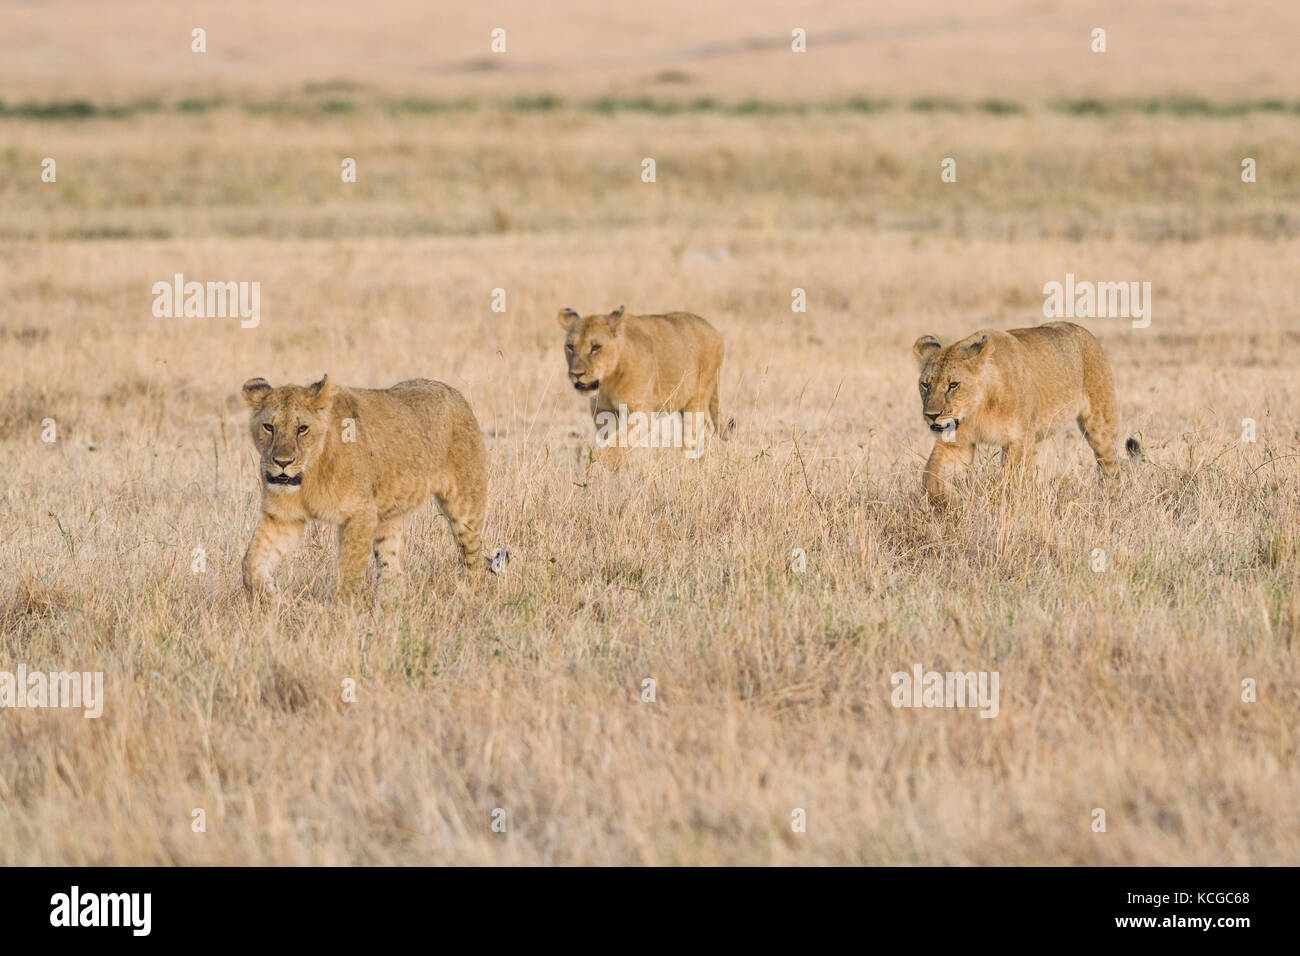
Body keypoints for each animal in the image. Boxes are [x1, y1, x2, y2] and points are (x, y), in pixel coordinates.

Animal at [240, 374, 488, 599]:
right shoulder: (283, 518)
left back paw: (469, 596)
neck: (308, 476)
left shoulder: (361, 514)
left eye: (302, 428)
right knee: (393, 572)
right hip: (388, 516)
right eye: (268, 427)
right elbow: (251, 561)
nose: (282, 462)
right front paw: (269, 595)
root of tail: (453, 391)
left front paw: (339, 613)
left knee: (475, 558)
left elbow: (349, 572)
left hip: (465, 506)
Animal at [557, 305, 734, 460]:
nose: (576, 374)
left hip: (698, 396)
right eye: (570, 346)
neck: (608, 381)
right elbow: (613, 440)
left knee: (695, 435)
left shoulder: (641, 413)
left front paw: (596, 465)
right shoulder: (602, 410)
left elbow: (617, 441)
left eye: (596, 347)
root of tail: (713, 329)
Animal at [911, 321, 1140, 507]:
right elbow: (930, 477)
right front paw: (952, 504)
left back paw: (1109, 503)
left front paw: (999, 508)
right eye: (925, 384)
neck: (977, 411)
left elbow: (1008, 481)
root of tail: (1083, 331)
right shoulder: (957, 444)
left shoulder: (1018, 441)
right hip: (1037, 437)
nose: (931, 415)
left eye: (953, 385)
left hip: (1099, 425)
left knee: (1110, 466)